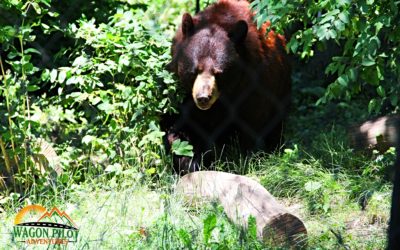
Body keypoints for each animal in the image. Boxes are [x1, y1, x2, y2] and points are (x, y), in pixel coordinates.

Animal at [162, 0, 290, 174]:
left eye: (218, 73)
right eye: (195, 70)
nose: (203, 98)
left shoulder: (254, 88)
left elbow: (253, 125)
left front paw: (247, 159)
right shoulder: (182, 93)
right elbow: (180, 126)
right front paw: (189, 162)